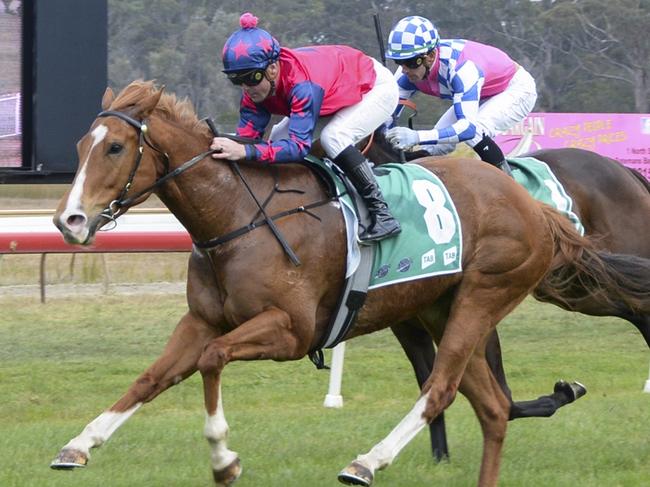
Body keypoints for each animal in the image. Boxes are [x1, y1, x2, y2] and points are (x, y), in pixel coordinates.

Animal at [50, 81, 648, 487]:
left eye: (115, 148)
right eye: (80, 145)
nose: (69, 221)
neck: (238, 214)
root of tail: (534, 206)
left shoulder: (290, 331)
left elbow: (212, 360)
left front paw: (224, 459)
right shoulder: (203, 320)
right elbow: (151, 377)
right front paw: (78, 445)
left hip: (497, 292)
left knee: (442, 388)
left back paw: (367, 461)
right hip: (446, 305)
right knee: (490, 406)